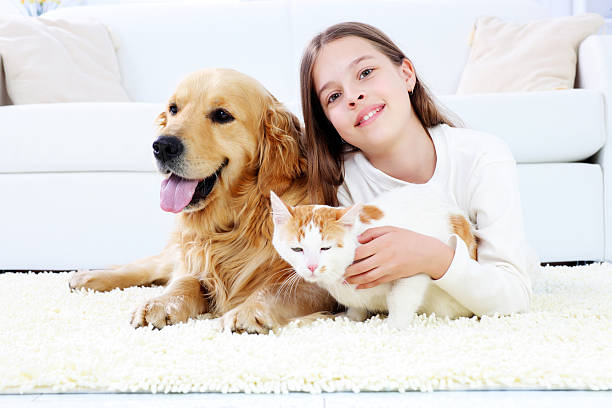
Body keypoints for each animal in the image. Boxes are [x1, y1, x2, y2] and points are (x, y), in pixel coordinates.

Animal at [272, 187, 478, 328]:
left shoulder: (413, 259)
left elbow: (400, 298)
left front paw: (394, 326)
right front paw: (352, 316)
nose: (312, 266)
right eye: (297, 249)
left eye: (325, 248)